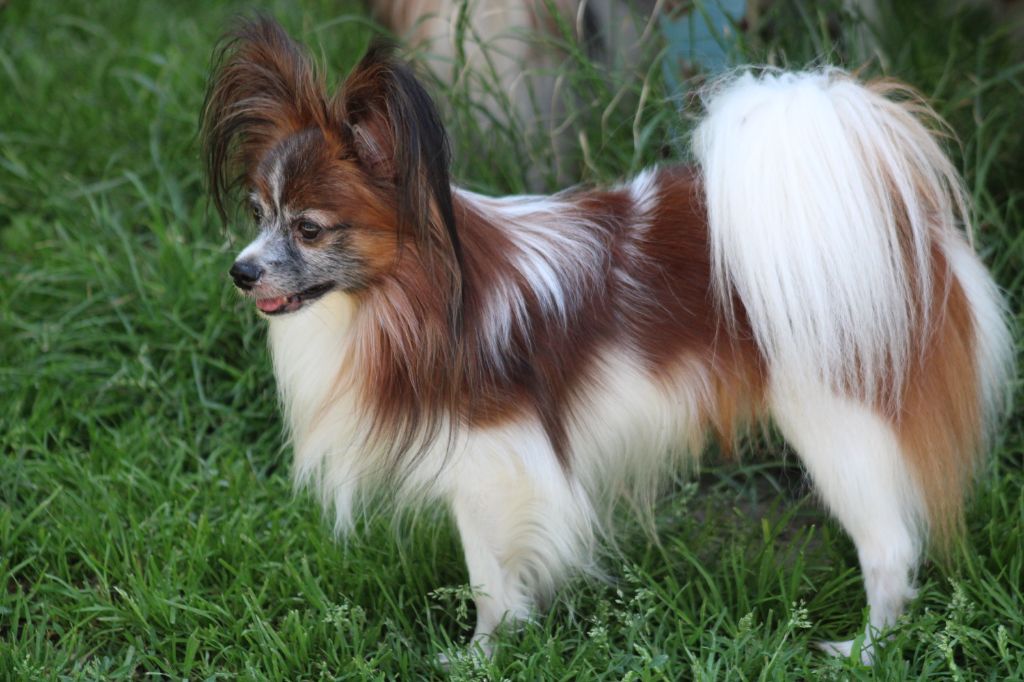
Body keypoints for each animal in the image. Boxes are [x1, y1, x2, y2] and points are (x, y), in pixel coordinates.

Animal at [200, 16, 1012, 662]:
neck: (405, 294)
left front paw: (481, 657)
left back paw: (863, 654)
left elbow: (489, 579)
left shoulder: (498, 460)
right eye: (257, 213)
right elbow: (492, 567)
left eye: (310, 229)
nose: (241, 272)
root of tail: (906, 221)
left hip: (837, 426)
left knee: (891, 550)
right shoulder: (483, 466)